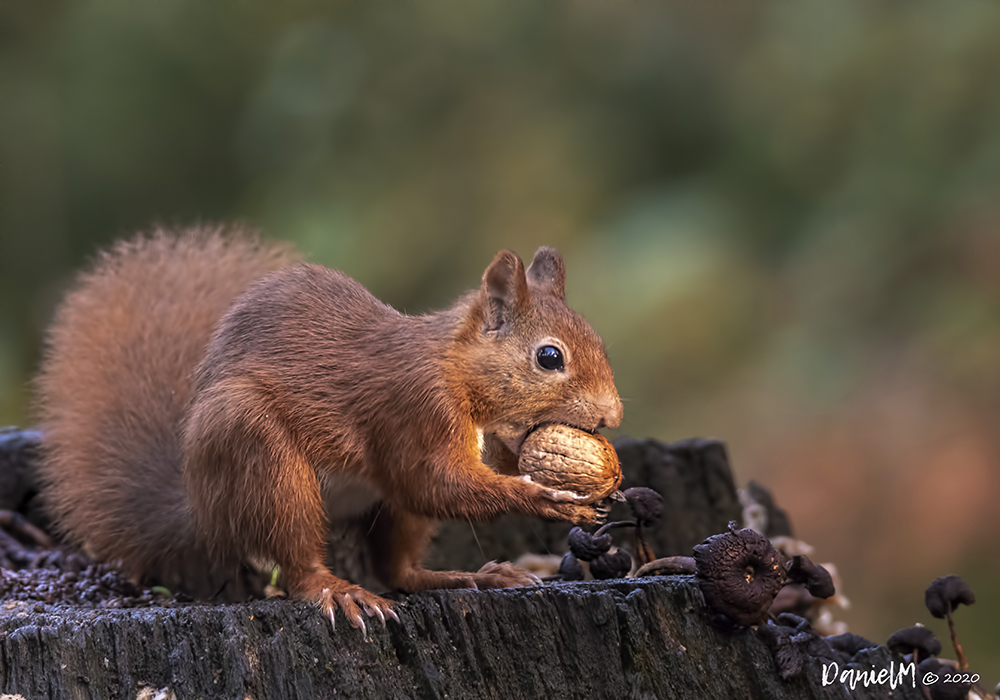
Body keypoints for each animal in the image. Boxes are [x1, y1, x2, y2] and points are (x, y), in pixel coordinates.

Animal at [35, 228, 624, 628]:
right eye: (549, 357)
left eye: (599, 340)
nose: (612, 417)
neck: (457, 371)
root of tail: (202, 511)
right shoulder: (412, 410)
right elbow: (434, 484)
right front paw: (546, 497)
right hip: (259, 455)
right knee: (298, 564)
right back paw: (337, 589)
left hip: (380, 510)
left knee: (397, 570)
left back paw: (473, 576)